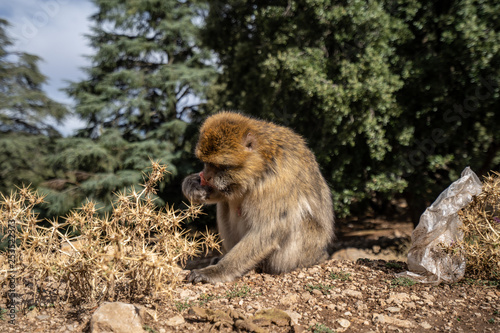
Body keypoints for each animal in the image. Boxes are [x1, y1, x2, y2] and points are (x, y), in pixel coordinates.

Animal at [182, 112, 334, 282]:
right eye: (207, 163)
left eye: (222, 166)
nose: (206, 176)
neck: (261, 163)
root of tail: (319, 254)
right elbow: (226, 194)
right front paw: (192, 185)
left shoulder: (278, 180)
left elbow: (266, 230)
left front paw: (215, 271)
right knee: (226, 203)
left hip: (302, 253)